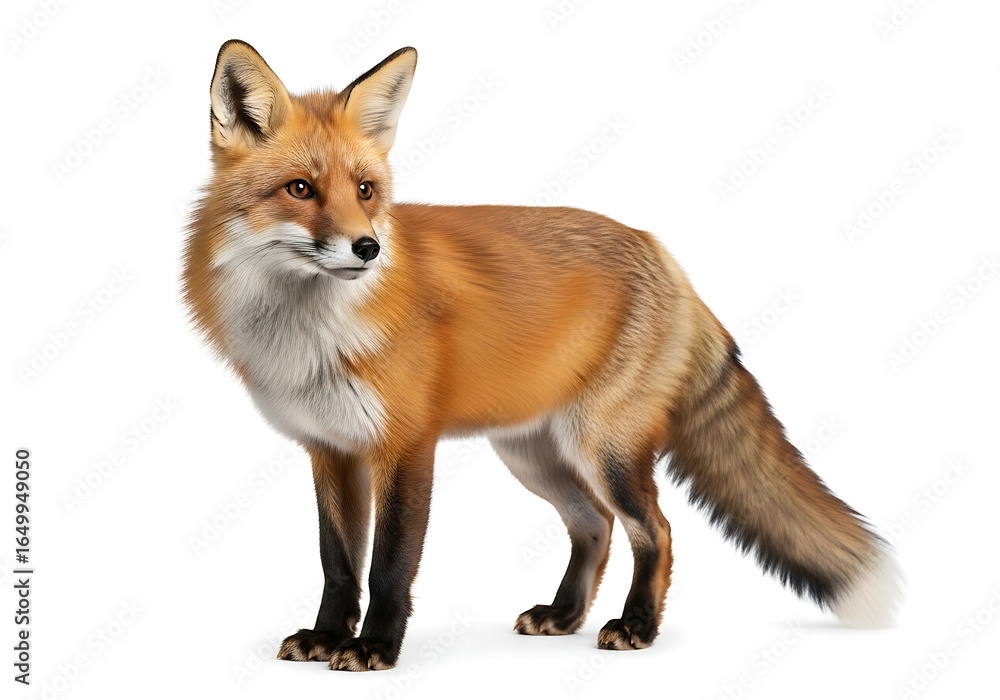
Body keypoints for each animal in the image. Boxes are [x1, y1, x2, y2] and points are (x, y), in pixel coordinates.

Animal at [182, 40, 902, 672]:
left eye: (364, 190)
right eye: (300, 189)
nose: (367, 249)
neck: (312, 335)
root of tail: (662, 252)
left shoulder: (405, 446)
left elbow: (388, 566)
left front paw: (375, 649)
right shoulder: (329, 450)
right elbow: (338, 564)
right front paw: (328, 637)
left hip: (602, 448)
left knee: (655, 530)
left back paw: (636, 626)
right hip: (534, 455)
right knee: (595, 527)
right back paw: (564, 615)